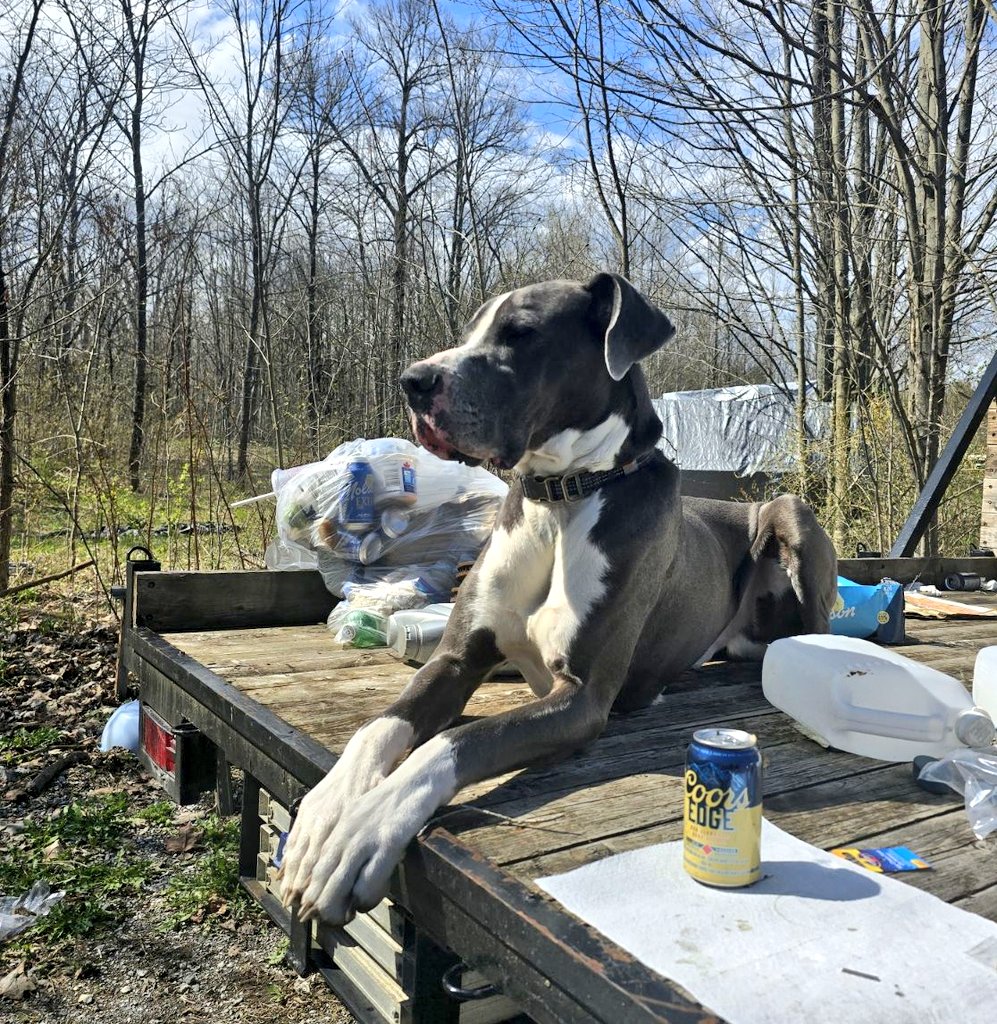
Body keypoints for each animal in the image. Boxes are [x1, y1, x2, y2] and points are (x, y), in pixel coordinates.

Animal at [276, 270, 839, 921]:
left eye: (521, 333)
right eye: (470, 329)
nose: (413, 381)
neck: (562, 497)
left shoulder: (581, 698)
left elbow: (453, 741)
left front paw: (362, 831)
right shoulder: (457, 659)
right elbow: (381, 725)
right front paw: (325, 812)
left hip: (790, 511)